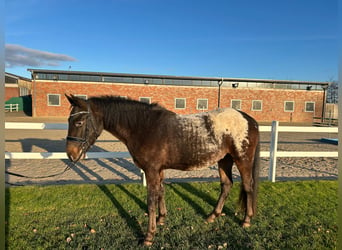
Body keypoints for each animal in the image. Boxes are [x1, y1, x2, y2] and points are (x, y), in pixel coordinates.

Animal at [65, 94, 260, 246]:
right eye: (69, 120)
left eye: (79, 122)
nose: (71, 154)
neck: (144, 127)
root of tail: (249, 120)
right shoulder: (158, 170)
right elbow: (161, 192)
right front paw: (161, 219)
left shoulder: (151, 170)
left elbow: (151, 200)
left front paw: (149, 236)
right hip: (224, 160)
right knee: (226, 185)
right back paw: (213, 216)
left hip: (242, 160)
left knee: (248, 186)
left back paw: (246, 220)